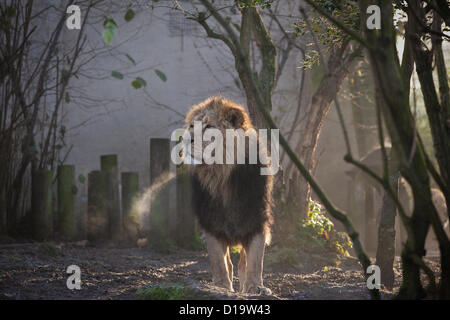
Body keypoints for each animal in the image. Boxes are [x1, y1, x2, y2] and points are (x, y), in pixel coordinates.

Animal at [184, 95, 274, 296]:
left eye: (209, 127)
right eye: (191, 126)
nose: (185, 140)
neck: (220, 175)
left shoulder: (255, 219)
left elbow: (255, 260)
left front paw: (255, 287)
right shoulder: (211, 222)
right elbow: (219, 261)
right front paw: (221, 286)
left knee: (243, 263)